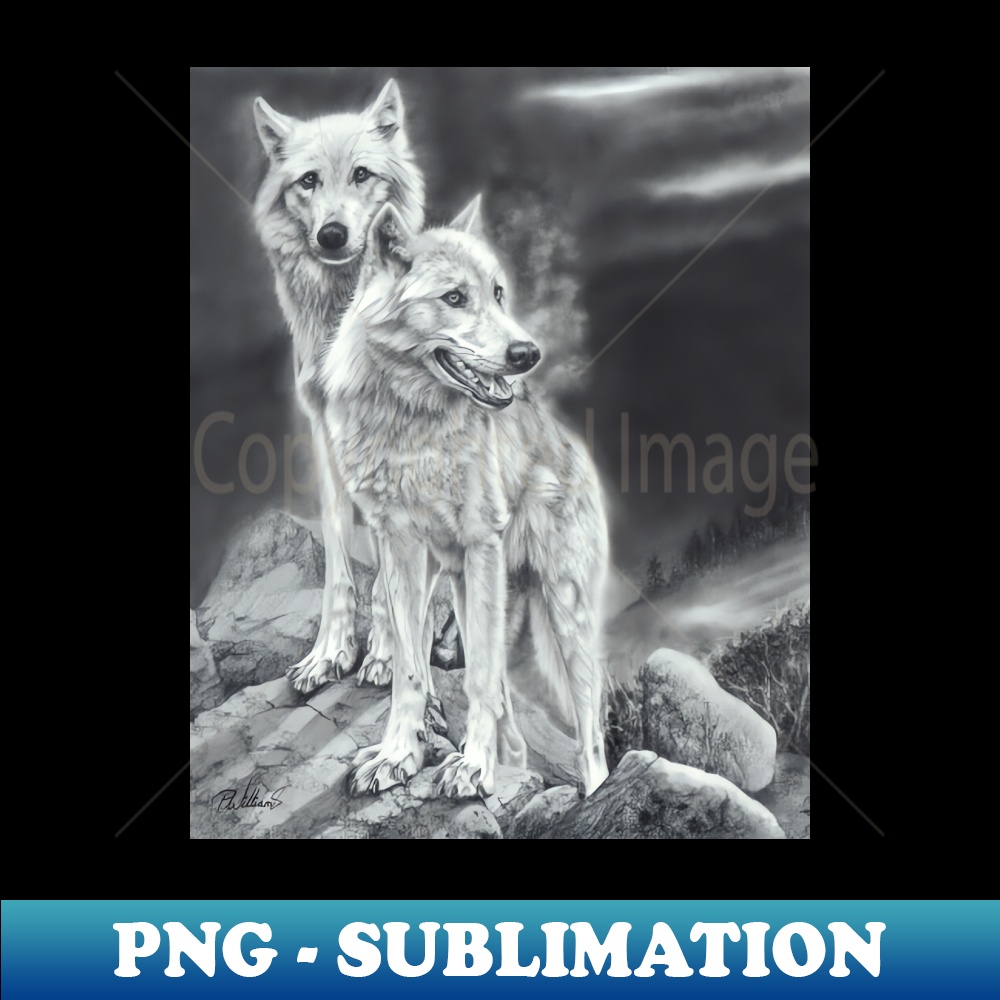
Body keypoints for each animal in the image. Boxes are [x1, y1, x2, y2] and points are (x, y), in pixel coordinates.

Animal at [252, 79, 425, 693]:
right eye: (308, 181)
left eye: (361, 174)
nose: (332, 234)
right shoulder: (323, 437)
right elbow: (337, 555)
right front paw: (330, 653)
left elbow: (390, 567)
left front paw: (385, 655)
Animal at [317, 196, 610, 798]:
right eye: (454, 298)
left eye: (498, 293)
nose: (527, 353)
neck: (412, 425)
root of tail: (575, 448)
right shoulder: (399, 547)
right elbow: (409, 669)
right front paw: (398, 756)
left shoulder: (481, 544)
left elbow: (476, 683)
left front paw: (473, 768)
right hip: (458, 583)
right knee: (500, 700)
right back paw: (506, 761)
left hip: (564, 617)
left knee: (589, 738)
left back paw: (592, 792)